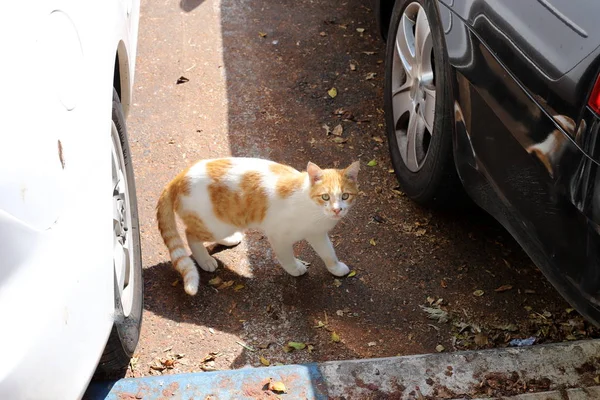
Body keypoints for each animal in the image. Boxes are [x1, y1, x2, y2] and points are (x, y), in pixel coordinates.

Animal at [157, 158, 358, 296]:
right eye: (325, 197)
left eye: (345, 196)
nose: (337, 210)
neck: (313, 209)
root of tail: (179, 177)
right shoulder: (278, 235)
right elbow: (286, 256)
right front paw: (295, 268)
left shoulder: (317, 233)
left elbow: (328, 252)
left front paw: (335, 268)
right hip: (213, 224)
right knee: (190, 234)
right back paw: (204, 260)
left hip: (226, 222)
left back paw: (229, 240)